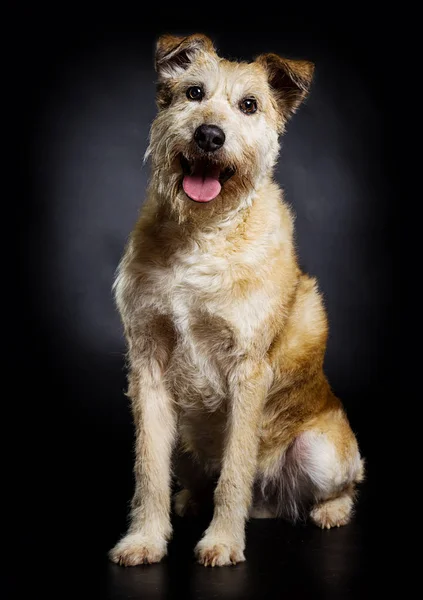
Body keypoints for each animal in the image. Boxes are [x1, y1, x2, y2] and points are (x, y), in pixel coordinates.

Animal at [109, 32, 364, 568]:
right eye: (193, 92)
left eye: (249, 105)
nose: (209, 136)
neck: (203, 236)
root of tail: (271, 500)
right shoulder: (148, 363)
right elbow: (148, 471)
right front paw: (145, 538)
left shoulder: (248, 369)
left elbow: (235, 470)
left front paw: (223, 541)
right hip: (184, 438)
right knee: (193, 476)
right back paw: (188, 500)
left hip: (321, 451)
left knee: (341, 484)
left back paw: (329, 511)